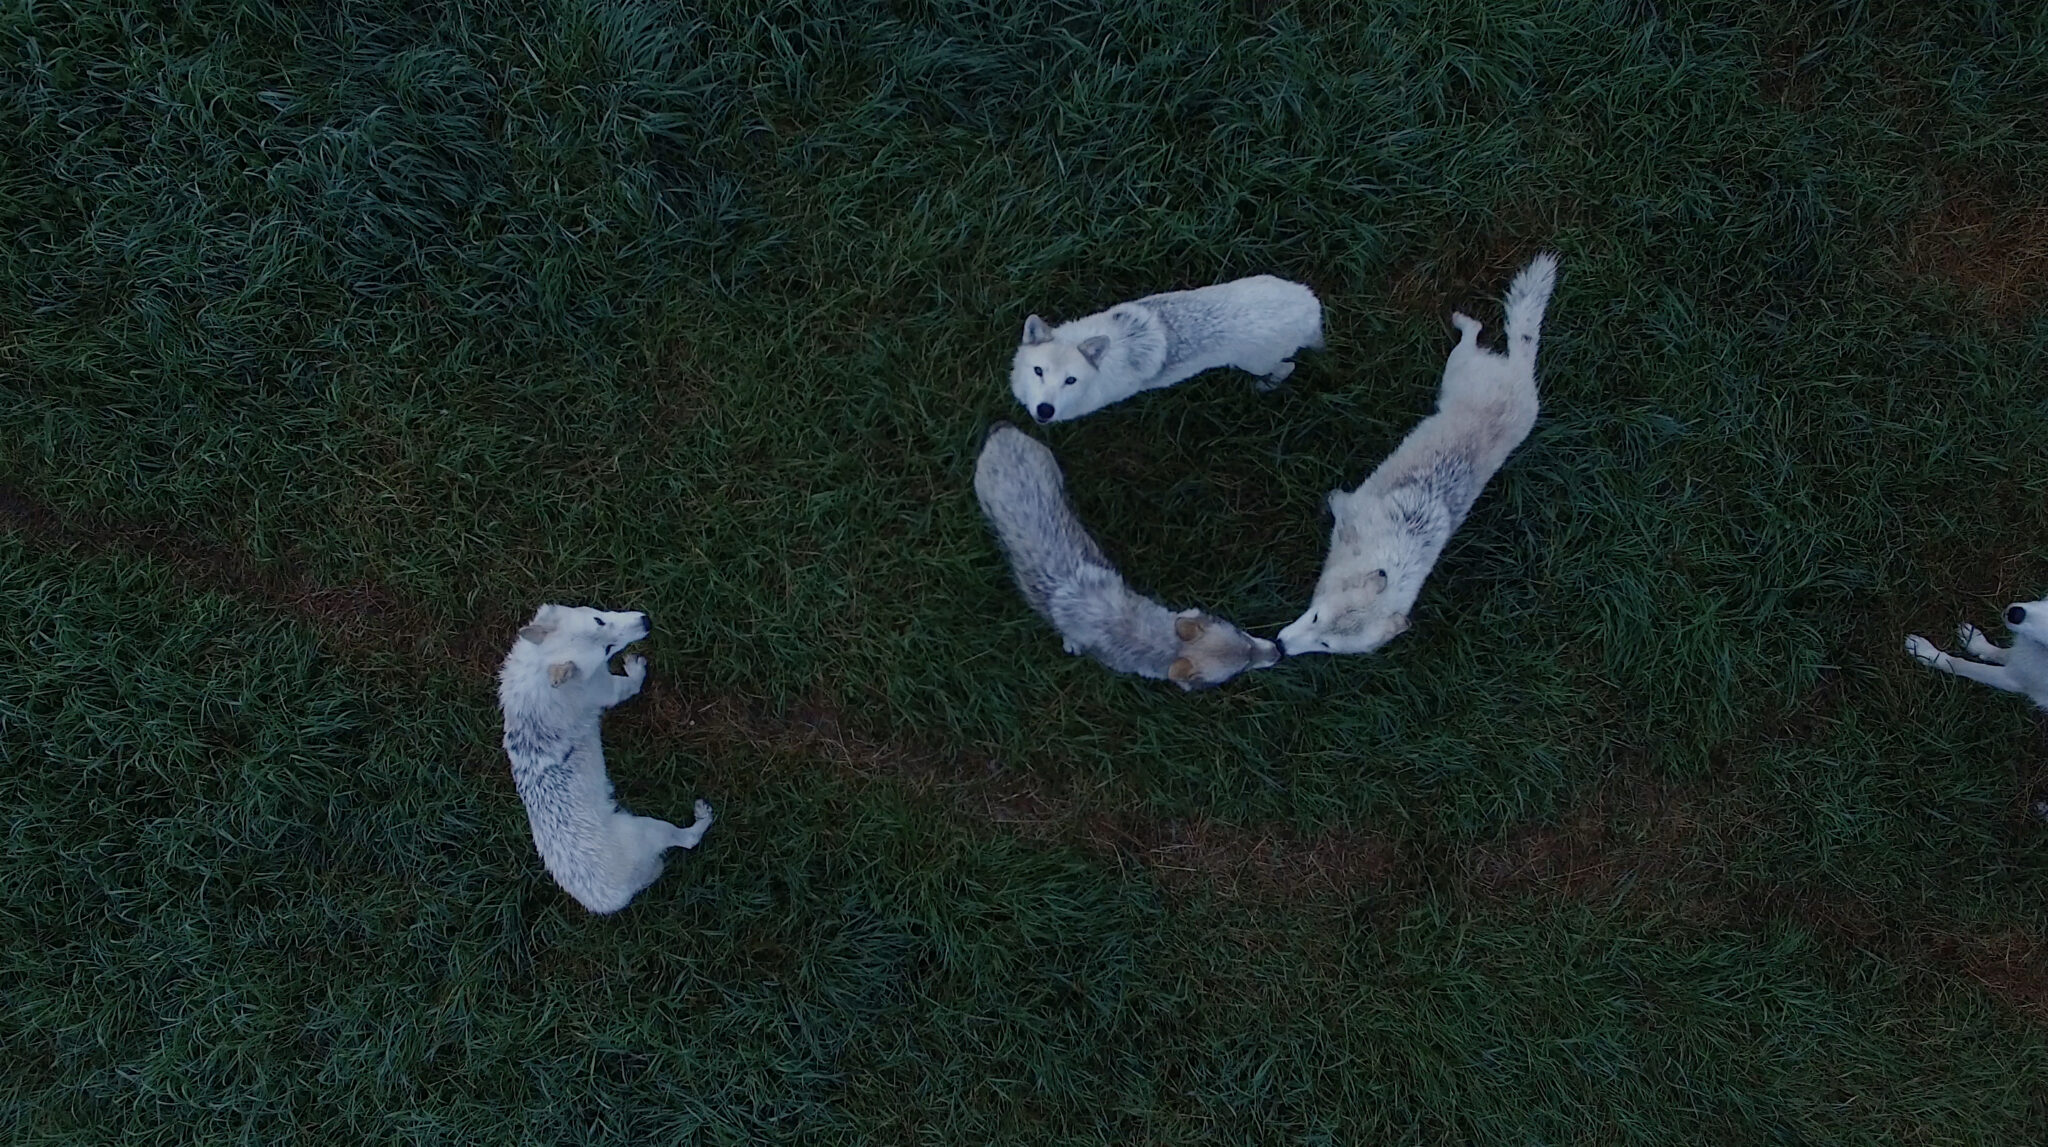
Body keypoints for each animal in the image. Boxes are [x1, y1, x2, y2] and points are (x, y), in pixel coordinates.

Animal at [498, 604, 713, 914]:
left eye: (598, 620)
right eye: (608, 648)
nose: (646, 622)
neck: (541, 670)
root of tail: (612, 899)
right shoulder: (610, 690)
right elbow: (633, 682)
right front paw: (636, 667)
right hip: (648, 828)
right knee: (689, 840)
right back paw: (703, 816)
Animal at [1011, 275, 1323, 424]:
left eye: (1071, 380)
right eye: (1038, 371)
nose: (1045, 410)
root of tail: (1311, 303)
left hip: (1255, 364)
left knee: (1288, 366)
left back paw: (1266, 386)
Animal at [1278, 252, 1558, 656]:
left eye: (1327, 645)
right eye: (1315, 617)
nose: (1282, 647)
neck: (1389, 551)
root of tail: (1522, 370)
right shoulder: (1349, 508)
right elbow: (1335, 502)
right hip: (1454, 370)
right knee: (1474, 333)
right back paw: (1461, 320)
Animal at [1906, 597, 2048, 710]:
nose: (2016, 614)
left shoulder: (2012, 679)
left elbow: (1959, 664)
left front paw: (1927, 652)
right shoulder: (2022, 661)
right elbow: (2000, 653)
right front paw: (1973, 640)